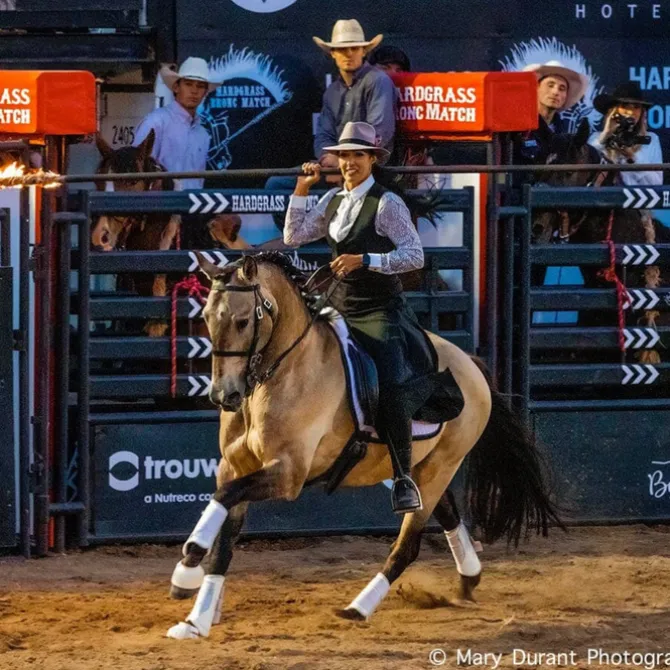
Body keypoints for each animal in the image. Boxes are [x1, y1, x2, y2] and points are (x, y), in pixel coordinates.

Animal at [164, 251, 561, 640]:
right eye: (206, 318)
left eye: (244, 320)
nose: (224, 395)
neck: (286, 371)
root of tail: (471, 365)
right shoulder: (235, 466)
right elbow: (225, 540)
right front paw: (197, 617)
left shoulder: (288, 474)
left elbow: (224, 499)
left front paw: (189, 563)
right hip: (425, 468)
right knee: (448, 512)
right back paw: (469, 577)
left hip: (441, 467)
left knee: (407, 547)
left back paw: (358, 608)